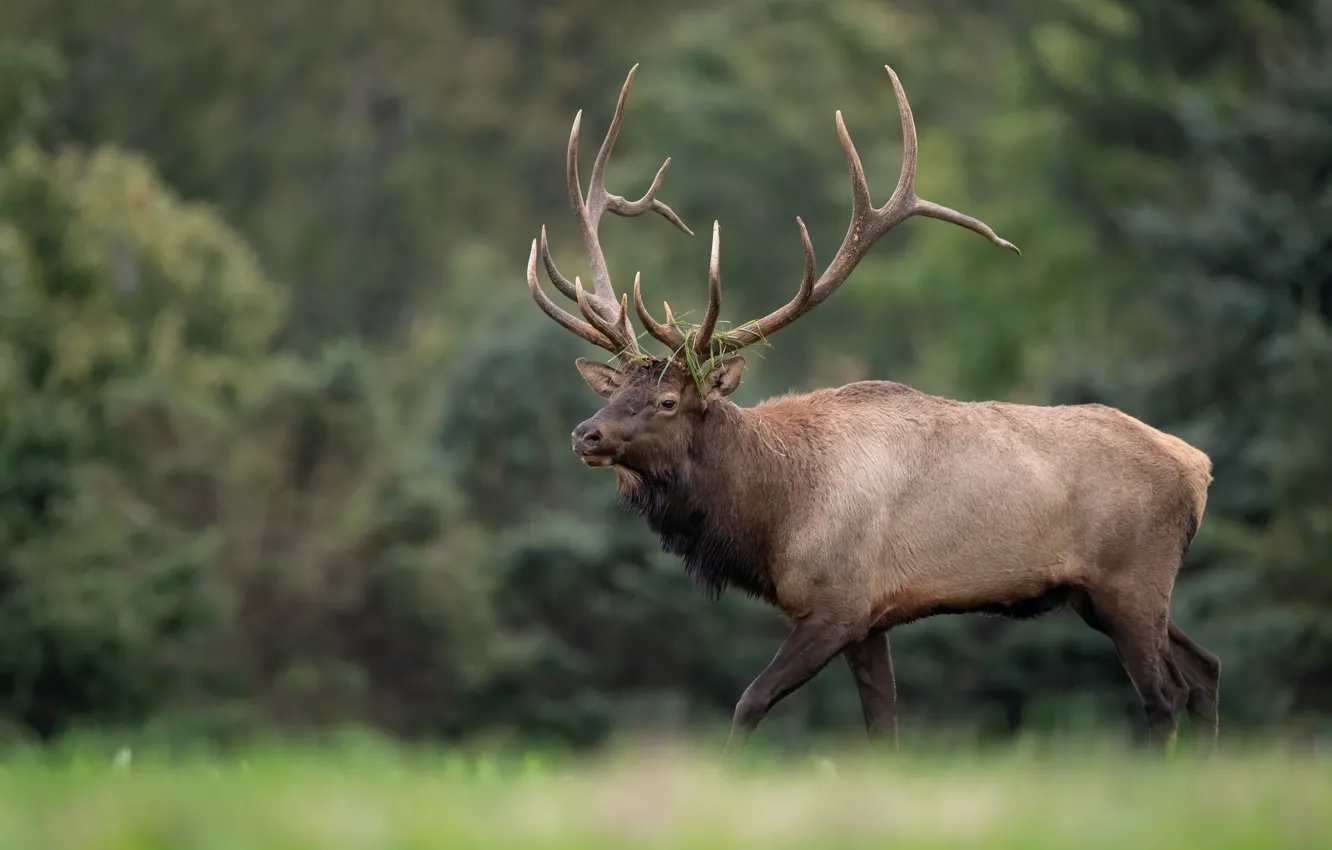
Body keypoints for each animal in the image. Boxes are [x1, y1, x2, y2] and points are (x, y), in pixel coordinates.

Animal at [519, 66, 1220, 756]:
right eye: (611, 393)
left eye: (667, 401)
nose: (586, 435)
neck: (775, 512)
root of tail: (1198, 467)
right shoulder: (871, 620)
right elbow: (882, 727)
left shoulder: (838, 604)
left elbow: (749, 703)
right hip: (1105, 594)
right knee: (1205, 669)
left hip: (1131, 580)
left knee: (1164, 696)